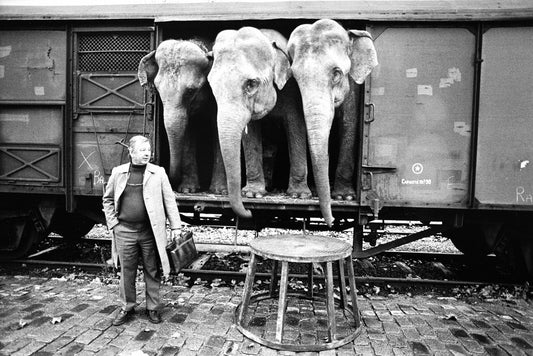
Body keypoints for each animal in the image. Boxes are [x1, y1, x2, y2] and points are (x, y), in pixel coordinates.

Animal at [207, 26, 310, 218]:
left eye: (251, 84)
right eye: (212, 85)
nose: (248, 211)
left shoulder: (292, 89)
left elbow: (296, 127)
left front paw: (299, 195)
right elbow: (251, 135)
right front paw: (252, 194)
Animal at [286, 18, 378, 225]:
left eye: (336, 73)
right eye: (295, 77)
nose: (332, 221)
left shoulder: (353, 90)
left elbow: (349, 123)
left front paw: (344, 197)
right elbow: (297, 122)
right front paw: (298, 196)